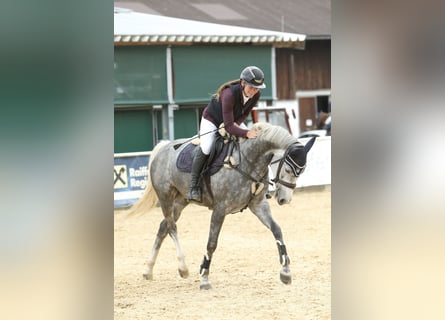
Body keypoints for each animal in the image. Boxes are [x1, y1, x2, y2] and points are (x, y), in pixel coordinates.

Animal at [128, 121, 316, 288]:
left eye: (302, 171)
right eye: (288, 170)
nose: (285, 199)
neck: (248, 161)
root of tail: (163, 148)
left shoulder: (259, 205)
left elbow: (277, 230)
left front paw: (286, 272)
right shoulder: (220, 209)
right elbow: (212, 243)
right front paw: (204, 278)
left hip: (181, 201)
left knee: (163, 227)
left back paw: (148, 270)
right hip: (166, 197)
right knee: (172, 227)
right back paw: (183, 268)